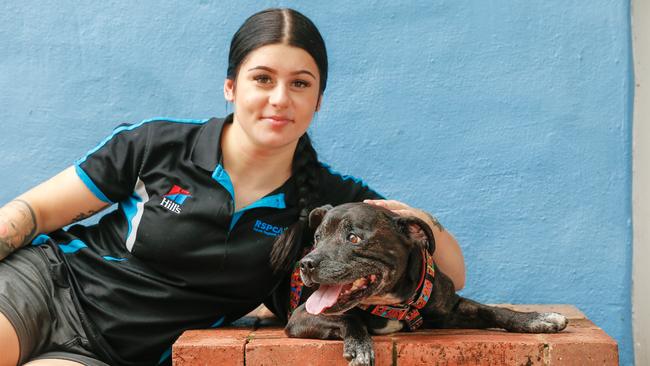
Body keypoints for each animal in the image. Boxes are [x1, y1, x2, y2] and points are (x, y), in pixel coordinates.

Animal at [286, 203, 564, 366]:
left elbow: (493, 311)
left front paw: (537, 319)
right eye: (317, 238)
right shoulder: (300, 317)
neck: (395, 303)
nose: (306, 264)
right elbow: (349, 318)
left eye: (353, 237)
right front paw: (360, 346)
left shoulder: (450, 308)